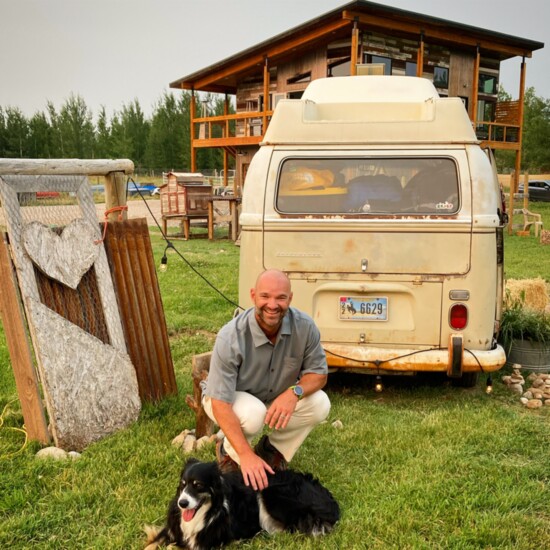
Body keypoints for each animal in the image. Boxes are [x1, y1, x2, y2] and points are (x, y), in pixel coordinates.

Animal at [144, 458, 340, 550]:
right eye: (183, 484)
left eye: (198, 485)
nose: (182, 503)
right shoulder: (172, 529)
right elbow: (152, 544)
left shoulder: (206, 543)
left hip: (271, 494)